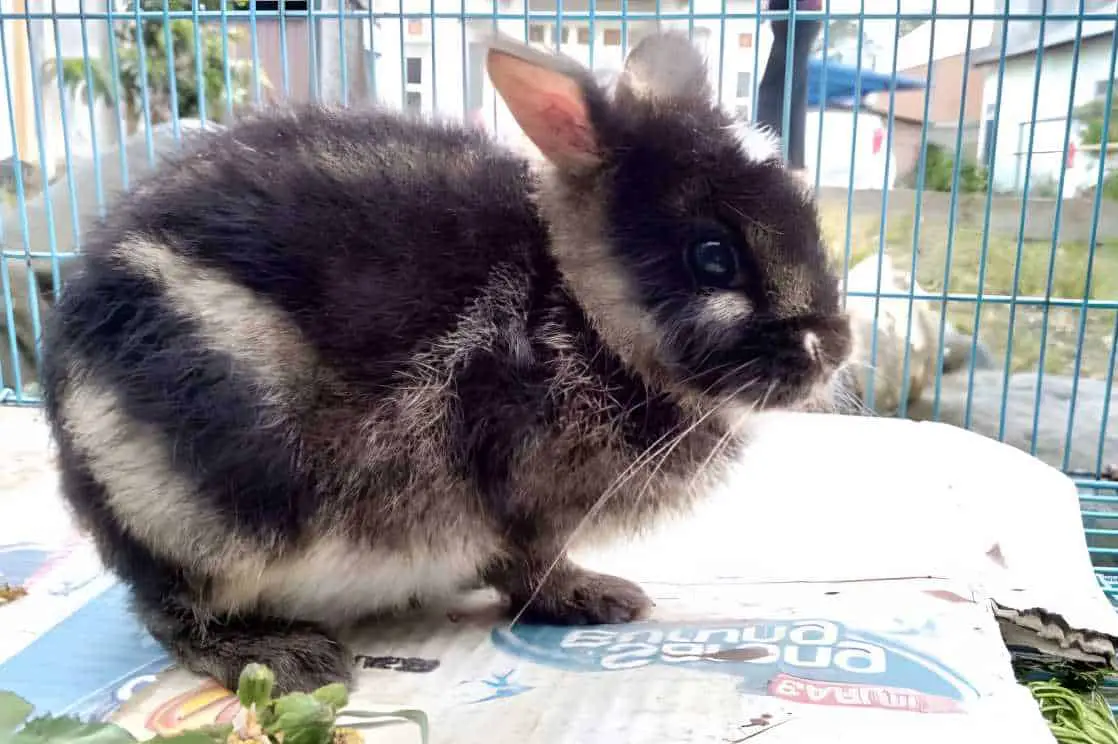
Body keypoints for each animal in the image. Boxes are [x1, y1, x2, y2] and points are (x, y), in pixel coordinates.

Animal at [39, 29, 849, 689]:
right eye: (713, 257)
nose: (834, 351)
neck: (578, 307)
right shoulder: (515, 496)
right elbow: (530, 566)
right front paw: (596, 598)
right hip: (228, 501)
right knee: (168, 611)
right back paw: (278, 657)